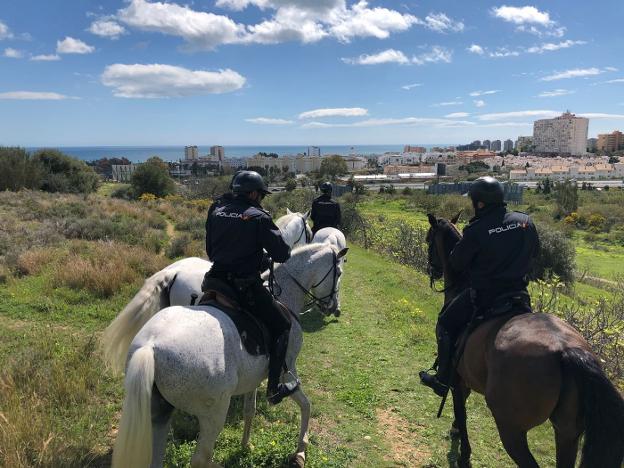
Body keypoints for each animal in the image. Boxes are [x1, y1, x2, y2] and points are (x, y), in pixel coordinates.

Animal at [110, 243, 348, 468]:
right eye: (338, 272)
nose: (333, 307)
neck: (285, 295)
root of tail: (150, 347)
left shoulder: (254, 378)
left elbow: (250, 410)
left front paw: (246, 445)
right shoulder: (287, 372)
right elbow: (306, 405)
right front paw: (300, 452)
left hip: (159, 412)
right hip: (213, 414)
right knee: (201, 459)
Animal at [426, 213, 624, 468]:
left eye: (429, 240)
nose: (433, 270)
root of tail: (566, 350)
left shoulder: (457, 380)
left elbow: (461, 412)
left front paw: (464, 454)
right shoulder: (464, 377)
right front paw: (456, 433)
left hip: (511, 429)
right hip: (567, 433)